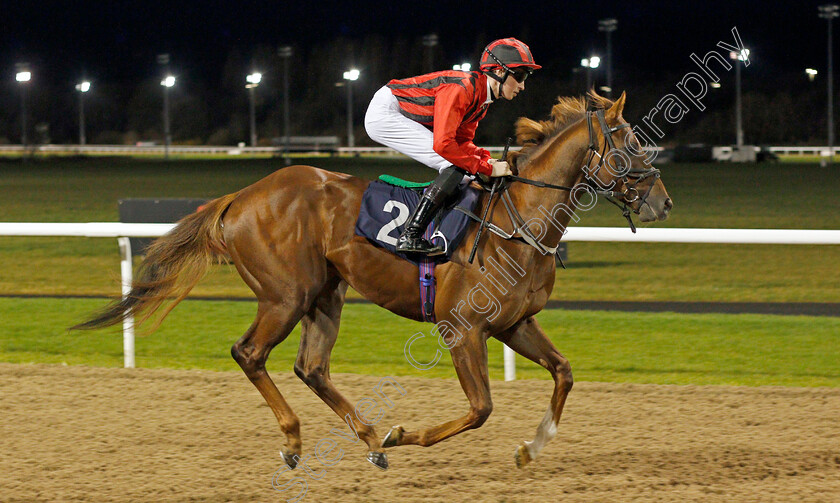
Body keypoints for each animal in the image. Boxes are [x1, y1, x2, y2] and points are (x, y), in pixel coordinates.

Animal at [75, 91, 672, 472]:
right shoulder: (463, 328)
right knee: (249, 353)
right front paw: (403, 433)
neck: (518, 218)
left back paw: (366, 440)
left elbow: (564, 373)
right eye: (627, 145)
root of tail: (240, 196)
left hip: (325, 295)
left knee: (311, 367)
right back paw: (300, 440)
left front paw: (532, 447)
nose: (662, 203)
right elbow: (480, 409)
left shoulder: (515, 323)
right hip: (285, 295)